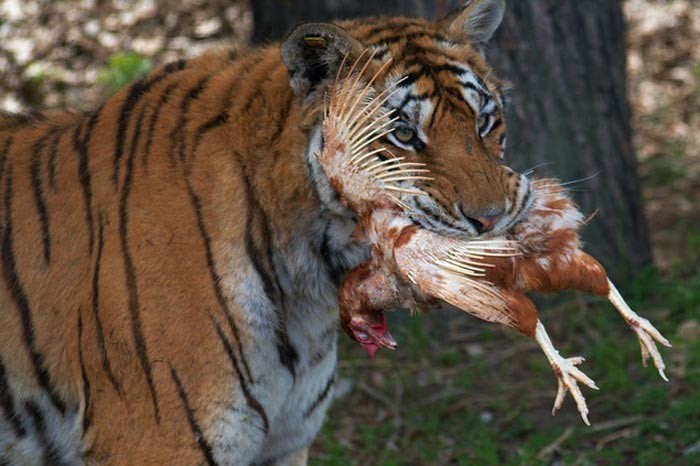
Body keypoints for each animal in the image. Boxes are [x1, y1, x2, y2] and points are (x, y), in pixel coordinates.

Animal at [0, 0, 528, 462]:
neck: (308, 276)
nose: (491, 217)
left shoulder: (285, 443)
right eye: (402, 134)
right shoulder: (156, 441)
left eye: (485, 122)